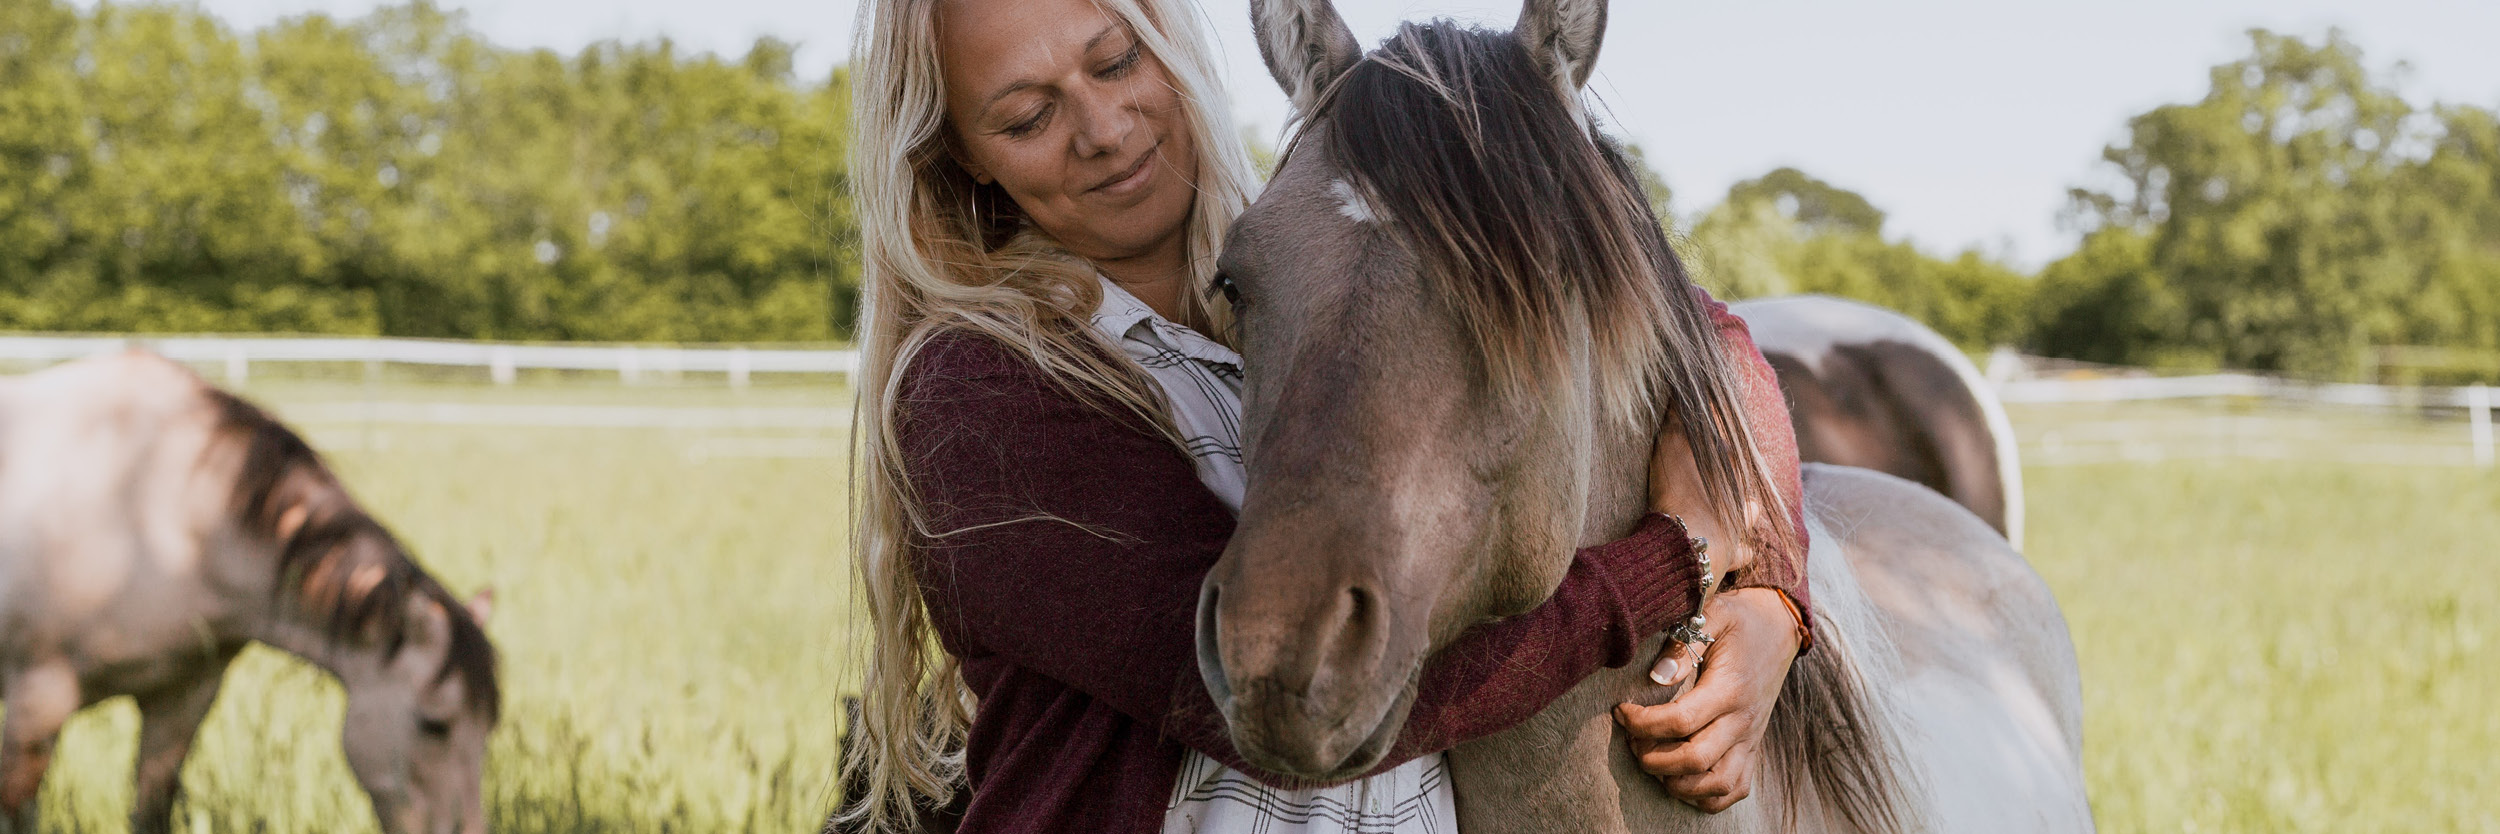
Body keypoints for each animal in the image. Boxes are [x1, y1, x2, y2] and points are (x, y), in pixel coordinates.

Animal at [0, 352, 502, 834]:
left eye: (487, 728)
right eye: (435, 725)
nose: (471, 832)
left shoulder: (181, 701)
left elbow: (152, 810)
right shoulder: (35, 705)